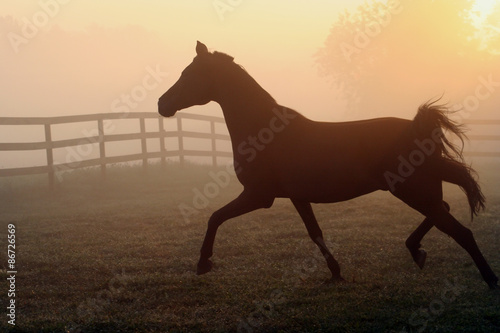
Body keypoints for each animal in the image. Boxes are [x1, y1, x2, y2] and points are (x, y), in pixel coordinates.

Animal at [158, 41, 498, 286]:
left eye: (188, 75)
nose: (162, 104)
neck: (263, 130)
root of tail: (420, 125)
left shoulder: (258, 196)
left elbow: (215, 217)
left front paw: (203, 263)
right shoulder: (297, 197)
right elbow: (315, 232)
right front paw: (335, 271)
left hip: (413, 191)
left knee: (461, 232)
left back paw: (489, 279)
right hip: (419, 191)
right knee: (445, 213)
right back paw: (417, 252)